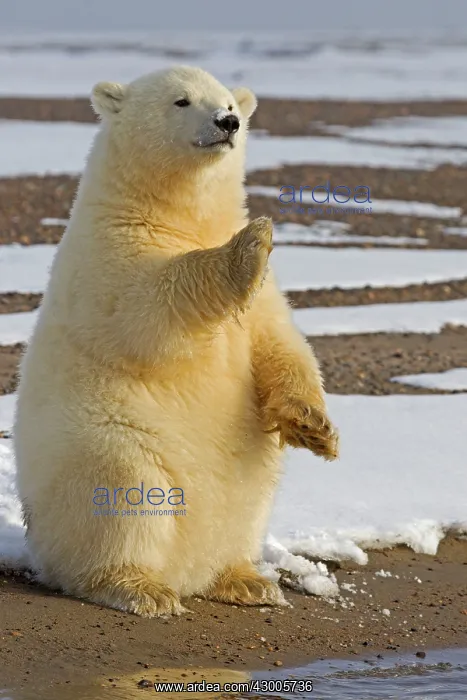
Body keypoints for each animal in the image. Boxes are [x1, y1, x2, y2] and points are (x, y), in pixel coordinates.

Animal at [14, 65, 338, 617]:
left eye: (229, 101)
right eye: (181, 100)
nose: (228, 122)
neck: (174, 216)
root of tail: (186, 570)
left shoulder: (266, 302)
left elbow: (280, 342)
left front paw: (316, 428)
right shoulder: (109, 256)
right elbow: (147, 311)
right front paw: (251, 242)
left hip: (247, 475)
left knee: (251, 496)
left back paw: (246, 580)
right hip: (109, 442)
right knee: (126, 495)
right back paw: (138, 587)